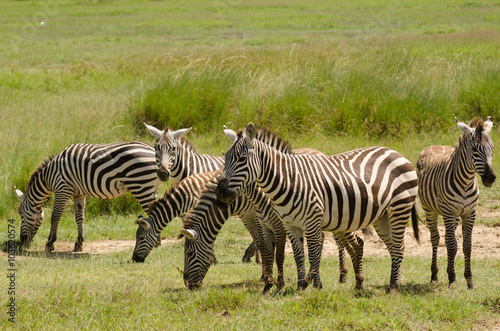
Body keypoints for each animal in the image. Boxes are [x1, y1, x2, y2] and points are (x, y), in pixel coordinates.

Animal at [15, 141, 160, 253]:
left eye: (20, 213)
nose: (22, 242)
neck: (49, 177)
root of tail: (153, 150)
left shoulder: (63, 189)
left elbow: (55, 217)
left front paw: (50, 244)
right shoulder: (79, 193)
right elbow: (80, 218)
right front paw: (79, 244)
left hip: (142, 186)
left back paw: (155, 242)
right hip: (152, 189)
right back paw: (157, 240)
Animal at [216, 123, 422, 292]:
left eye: (242, 159)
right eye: (225, 158)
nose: (221, 193)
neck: (288, 181)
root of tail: (395, 152)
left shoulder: (310, 222)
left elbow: (313, 254)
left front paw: (316, 286)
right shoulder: (290, 225)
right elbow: (297, 255)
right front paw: (300, 286)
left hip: (399, 208)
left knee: (398, 246)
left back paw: (393, 287)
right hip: (382, 216)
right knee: (394, 247)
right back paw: (382, 284)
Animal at [416, 117, 494, 290]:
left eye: (492, 148)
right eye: (474, 148)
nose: (491, 178)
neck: (466, 182)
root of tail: (434, 145)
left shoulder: (470, 213)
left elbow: (467, 246)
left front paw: (469, 280)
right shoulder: (449, 212)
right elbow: (452, 245)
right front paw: (452, 279)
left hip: (456, 215)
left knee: (446, 239)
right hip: (430, 210)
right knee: (436, 238)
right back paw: (434, 275)